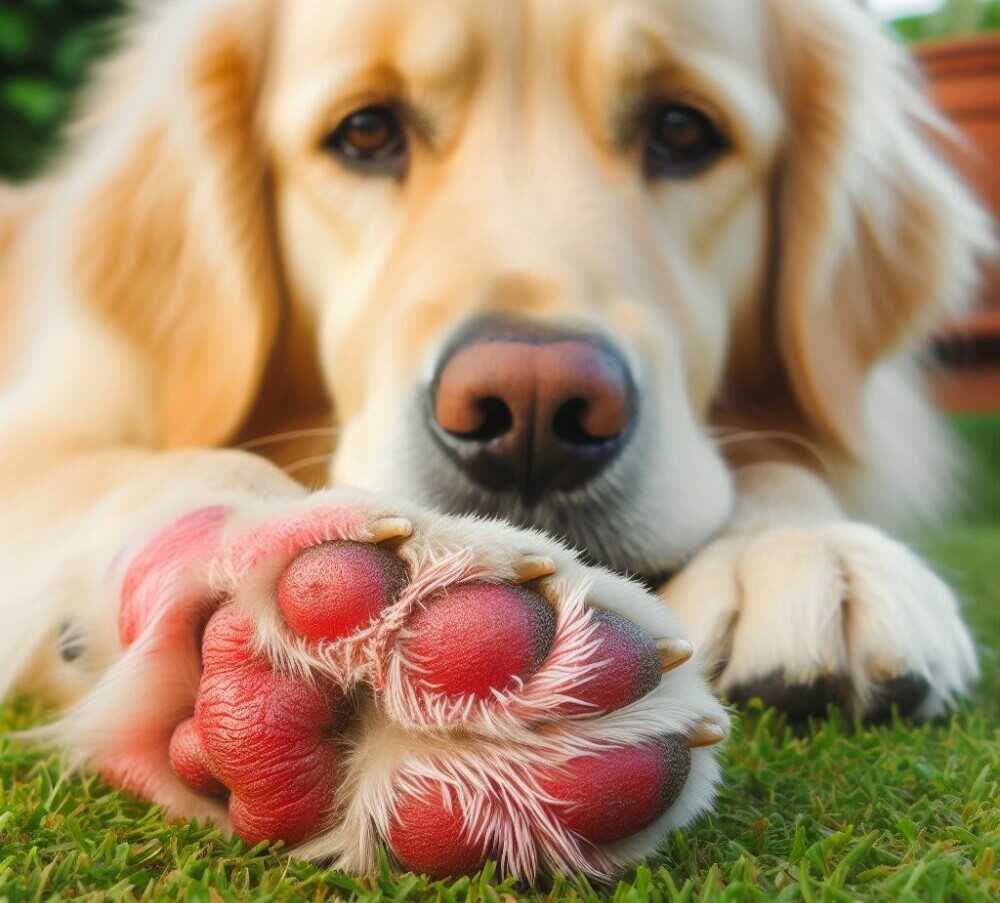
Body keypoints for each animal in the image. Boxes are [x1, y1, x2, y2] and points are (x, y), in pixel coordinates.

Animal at [0, 0, 988, 884]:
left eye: (682, 128)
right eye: (365, 132)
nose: (534, 413)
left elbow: (786, 458)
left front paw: (802, 545)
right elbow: (172, 461)